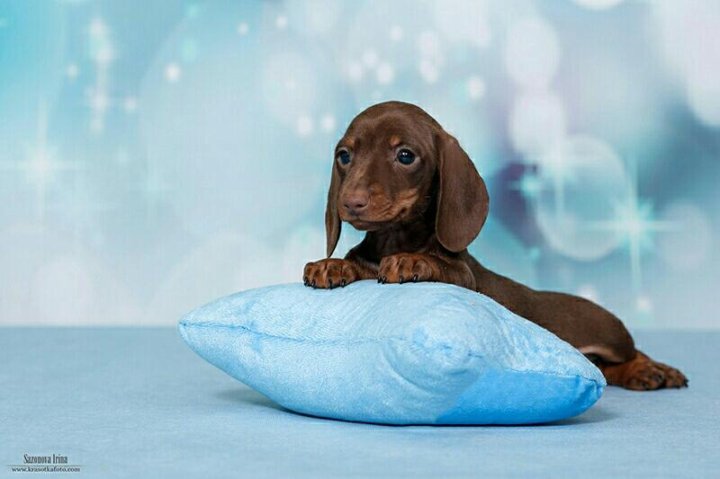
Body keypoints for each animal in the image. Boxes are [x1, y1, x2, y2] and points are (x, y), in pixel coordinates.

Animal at [303, 101, 687, 391]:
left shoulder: (464, 277)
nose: (351, 202)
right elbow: (354, 263)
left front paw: (411, 262)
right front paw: (330, 265)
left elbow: (440, 264)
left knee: (631, 353)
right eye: (344, 155)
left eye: (406, 155)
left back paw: (653, 369)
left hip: (610, 332)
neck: (393, 239)